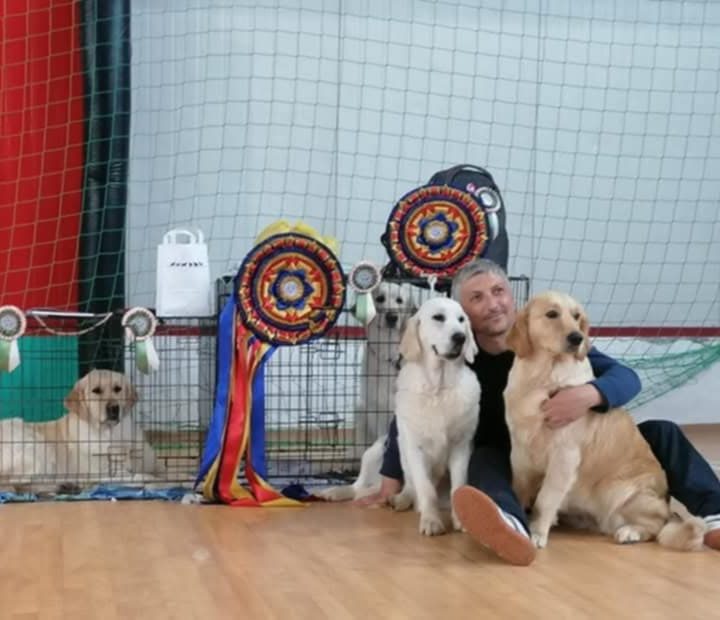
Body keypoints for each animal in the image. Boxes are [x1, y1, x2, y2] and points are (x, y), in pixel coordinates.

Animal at [0, 369, 166, 492]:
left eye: (118, 389)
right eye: (96, 391)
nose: (114, 408)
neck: (111, 434)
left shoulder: (152, 461)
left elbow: (162, 469)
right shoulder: (106, 473)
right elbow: (142, 477)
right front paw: (156, 482)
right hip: (37, 444)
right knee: (14, 483)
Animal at [321, 296, 481, 536]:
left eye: (461, 320)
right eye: (438, 317)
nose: (460, 337)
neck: (438, 388)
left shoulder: (461, 447)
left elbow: (459, 486)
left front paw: (461, 518)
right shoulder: (414, 447)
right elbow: (425, 488)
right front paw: (431, 520)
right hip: (377, 450)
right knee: (363, 486)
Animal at [503, 290, 705, 551]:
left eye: (577, 316)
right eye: (552, 314)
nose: (577, 338)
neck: (542, 376)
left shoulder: (564, 456)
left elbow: (545, 499)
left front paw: (537, 532)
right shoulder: (520, 453)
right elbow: (518, 491)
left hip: (623, 492)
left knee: (657, 527)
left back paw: (630, 532)